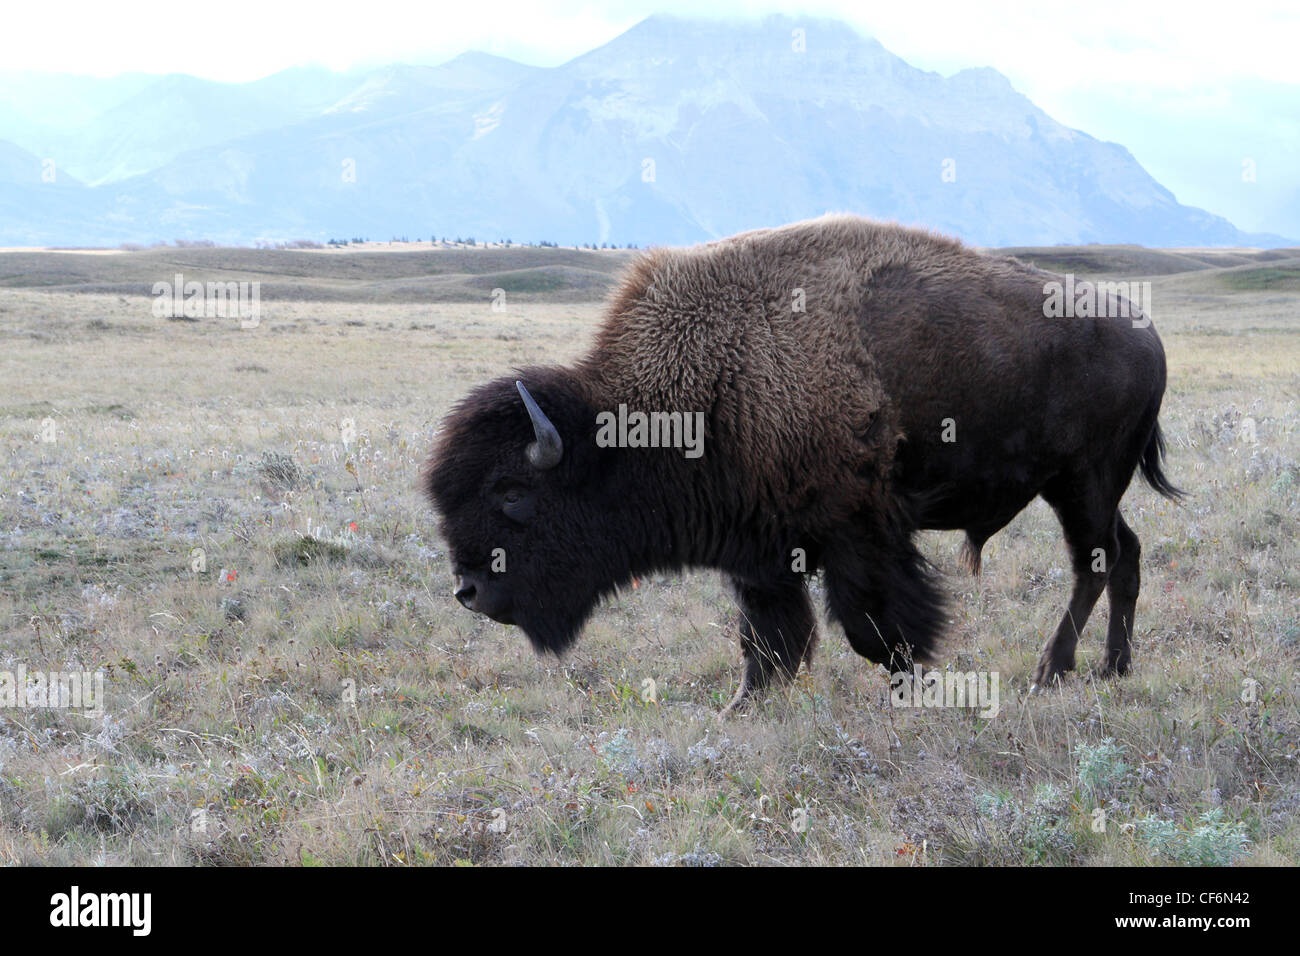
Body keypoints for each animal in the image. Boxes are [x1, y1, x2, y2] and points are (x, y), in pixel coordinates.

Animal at [423, 217, 1180, 712]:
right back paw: (1113, 670)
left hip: (1083, 484)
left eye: (513, 494)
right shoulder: (760, 552)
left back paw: (1050, 673)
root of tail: (1148, 334)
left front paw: (915, 689)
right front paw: (743, 706)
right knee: (1126, 554)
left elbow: (877, 629)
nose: (468, 591)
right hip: (1083, 490)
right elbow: (767, 639)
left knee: (1096, 563)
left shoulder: (858, 537)